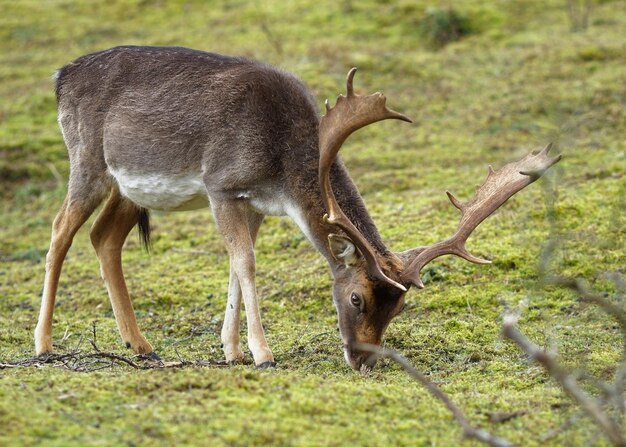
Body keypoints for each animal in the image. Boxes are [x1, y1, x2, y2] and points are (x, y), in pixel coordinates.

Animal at [34, 45, 560, 372]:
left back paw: (140, 346)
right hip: (87, 159)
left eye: (400, 306)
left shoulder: (254, 204)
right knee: (59, 231)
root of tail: (60, 76)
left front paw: (231, 351)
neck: (280, 166)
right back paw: (43, 346)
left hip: (128, 189)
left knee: (104, 237)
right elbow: (246, 263)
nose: (364, 361)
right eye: (356, 298)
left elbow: (233, 265)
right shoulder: (221, 184)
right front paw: (262, 354)